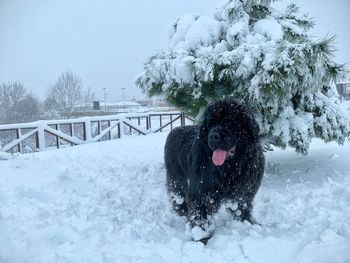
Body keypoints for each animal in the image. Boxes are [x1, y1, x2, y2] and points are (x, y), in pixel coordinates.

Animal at [165, 100, 264, 243]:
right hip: (176, 177)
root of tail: (175, 129)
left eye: (230, 122)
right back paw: (182, 210)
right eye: (210, 123)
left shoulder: (245, 189)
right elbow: (200, 213)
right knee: (178, 194)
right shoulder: (201, 191)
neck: (229, 168)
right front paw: (201, 237)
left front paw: (247, 222)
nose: (213, 137)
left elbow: (242, 205)